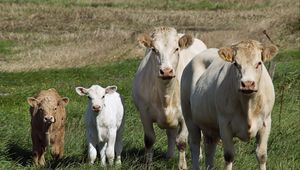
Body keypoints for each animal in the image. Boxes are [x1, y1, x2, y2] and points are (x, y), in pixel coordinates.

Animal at [132, 26, 207, 169]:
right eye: (154, 49)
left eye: (176, 49)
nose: (166, 71)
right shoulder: (144, 113)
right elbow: (149, 140)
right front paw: (148, 164)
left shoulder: (185, 116)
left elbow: (182, 142)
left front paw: (182, 166)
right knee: (171, 133)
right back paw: (169, 156)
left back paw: (200, 157)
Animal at [180, 40, 278, 170]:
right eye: (236, 64)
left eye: (259, 63)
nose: (247, 84)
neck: (248, 105)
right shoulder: (224, 124)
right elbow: (229, 156)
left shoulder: (266, 122)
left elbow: (261, 155)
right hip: (189, 118)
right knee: (195, 144)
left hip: (209, 126)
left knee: (209, 149)